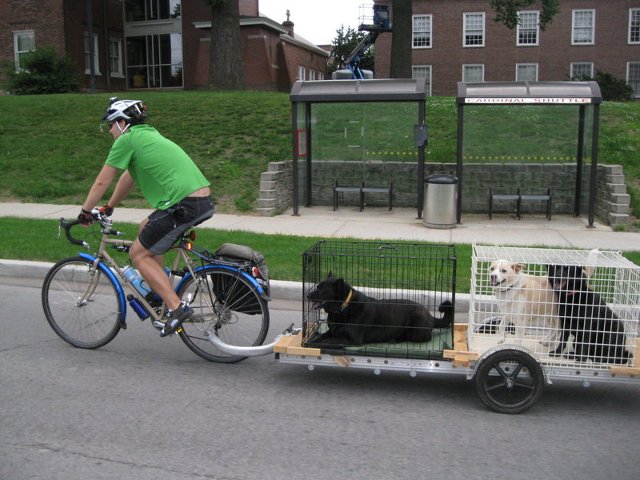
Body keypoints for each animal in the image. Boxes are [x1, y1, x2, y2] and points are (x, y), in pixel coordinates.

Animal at [306, 274, 452, 344]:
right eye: (317, 287)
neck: (343, 308)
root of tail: (431, 316)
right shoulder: (332, 332)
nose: (307, 295)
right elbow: (322, 337)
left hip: (416, 324)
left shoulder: (352, 339)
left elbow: (327, 341)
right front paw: (313, 339)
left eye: (322, 291)